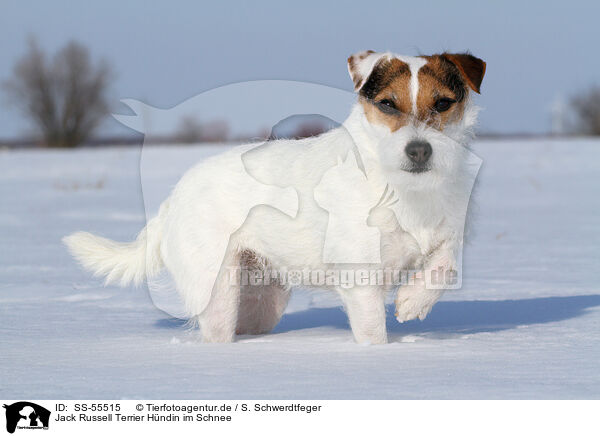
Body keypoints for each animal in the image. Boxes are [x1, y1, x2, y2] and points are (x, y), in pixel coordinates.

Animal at [64, 51, 488, 344]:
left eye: (443, 103)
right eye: (387, 103)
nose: (419, 151)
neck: (403, 188)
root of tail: (174, 198)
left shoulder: (446, 234)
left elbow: (446, 267)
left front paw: (413, 301)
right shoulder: (361, 278)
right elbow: (373, 333)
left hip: (263, 302)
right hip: (218, 294)